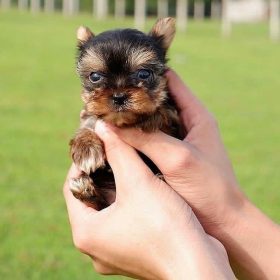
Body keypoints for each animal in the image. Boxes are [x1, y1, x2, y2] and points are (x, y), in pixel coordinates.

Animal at [69, 17, 184, 209]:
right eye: (95, 76)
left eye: (143, 73)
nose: (119, 96)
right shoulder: (90, 114)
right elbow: (89, 122)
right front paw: (86, 147)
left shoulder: (176, 122)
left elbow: (165, 113)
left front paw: (151, 117)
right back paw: (85, 191)